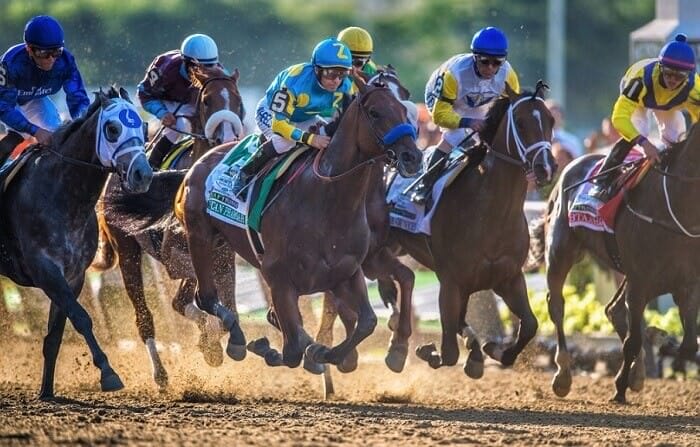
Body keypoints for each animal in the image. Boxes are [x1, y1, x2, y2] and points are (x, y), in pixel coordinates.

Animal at [0, 87, 152, 399]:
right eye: (112, 128)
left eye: (143, 127)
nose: (142, 174)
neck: (64, 196)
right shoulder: (46, 270)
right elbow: (81, 318)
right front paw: (109, 373)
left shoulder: (73, 275)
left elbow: (55, 335)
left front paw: (46, 391)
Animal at [92, 67, 245, 388]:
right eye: (208, 101)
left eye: (237, 101)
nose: (227, 139)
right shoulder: (178, 255)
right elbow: (193, 300)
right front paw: (210, 342)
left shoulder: (223, 255)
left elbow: (218, 306)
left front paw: (212, 342)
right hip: (128, 252)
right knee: (144, 315)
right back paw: (160, 373)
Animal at [174, 79, 422, 371]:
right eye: (375, 112)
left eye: (404, 109)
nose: (413, 157)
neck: (327, 202)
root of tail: (202, 160)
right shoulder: (279, 279)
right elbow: (293, 348)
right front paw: (281, 349)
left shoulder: (347, 271)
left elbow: (366, 322)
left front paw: (327, 353)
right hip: (200, 236)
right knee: (206, 297)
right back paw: (235, 339)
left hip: (222, 243)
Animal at [366, 82, 557, 378]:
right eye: (521, 122)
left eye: (550, 120)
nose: (546, 167)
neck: (492, 213)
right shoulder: (451, 281)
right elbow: (448, 352)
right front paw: (430, 351)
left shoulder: (509, 278)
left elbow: (529, 325)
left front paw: (494, 350)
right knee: (385, 285)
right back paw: (397, 341)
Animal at [529, 129, 700, 403]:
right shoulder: (640, 281)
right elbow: (633, 341)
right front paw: (620, 387)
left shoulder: (687, 283)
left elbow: (689, 345)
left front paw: (658, 342)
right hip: (560, 253)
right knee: (557, 305)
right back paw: (563, 375)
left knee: (615, 310)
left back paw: (638, 372)